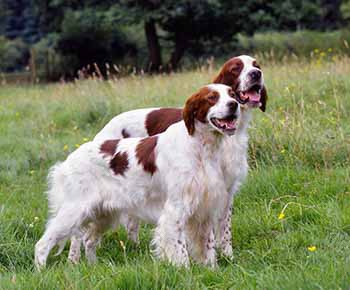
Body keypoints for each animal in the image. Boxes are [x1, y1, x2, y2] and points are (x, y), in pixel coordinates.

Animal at [34, 83, 243, 268]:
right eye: (212, 97)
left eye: (232, 94)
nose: (234, 104)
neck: (200, 147)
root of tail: (67, 161)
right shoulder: (175, 209)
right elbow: (180, 249)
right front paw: (185, 271)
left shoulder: (204, 209)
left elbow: (208, 248)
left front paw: (212, 270)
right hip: (74, 211)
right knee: (43, 244)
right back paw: (41, 272)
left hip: (104, 214)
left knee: (88, 240)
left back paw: (92, 267)